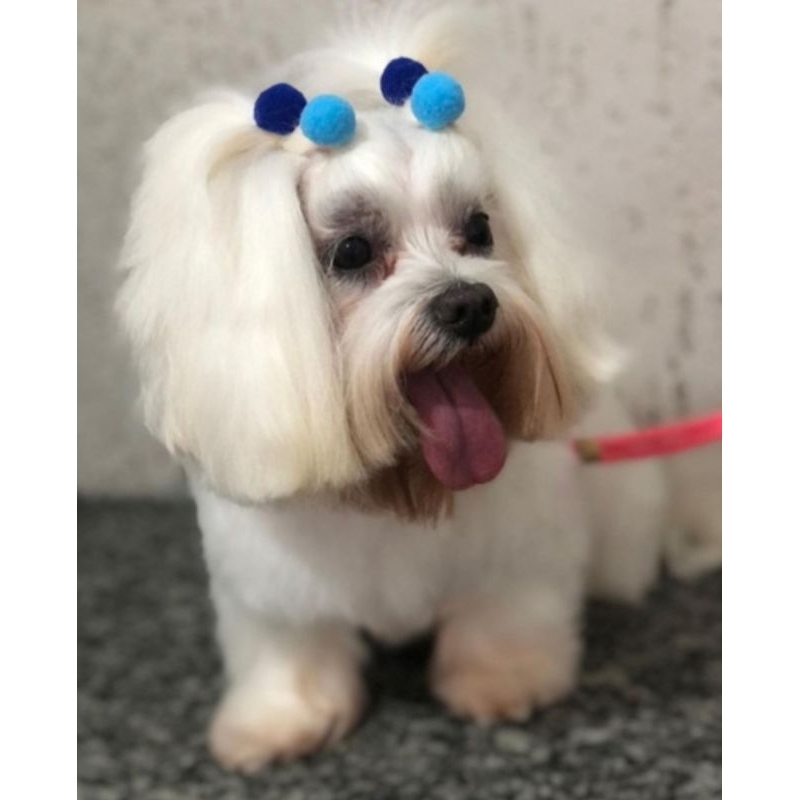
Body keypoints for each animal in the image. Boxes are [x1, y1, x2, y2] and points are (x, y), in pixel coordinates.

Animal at [117, 5, 715, 772]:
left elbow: (505, 618)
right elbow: (292, 651)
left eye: (479, 229)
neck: (403, 484)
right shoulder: (275, 588)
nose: (469, 304)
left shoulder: (518, 556)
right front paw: (277, 722)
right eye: (352, 251)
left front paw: (504, 682)